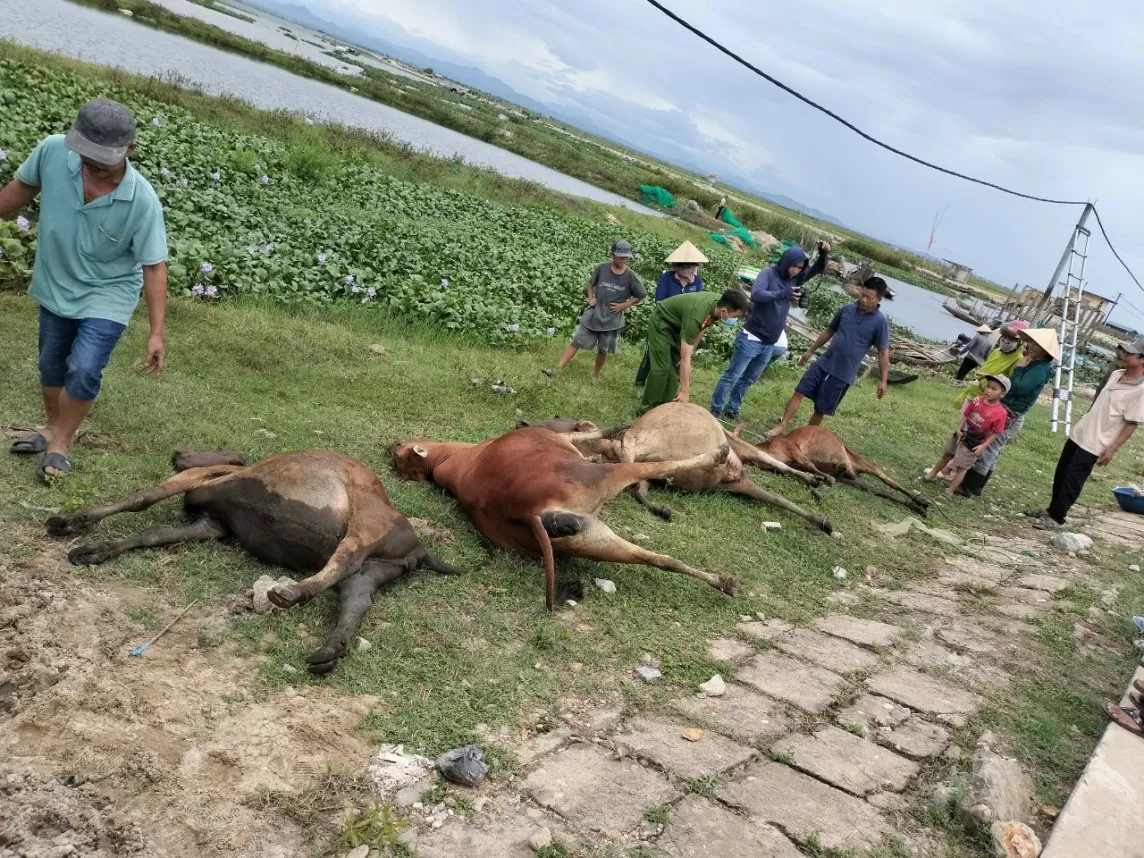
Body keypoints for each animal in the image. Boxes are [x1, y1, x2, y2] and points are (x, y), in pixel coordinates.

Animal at [44, 446, 455, 677]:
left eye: (211, 446)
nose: (177, 453)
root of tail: (420, 550)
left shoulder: (201, 479)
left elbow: (141, 499)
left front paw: (71, 522)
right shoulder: (211, 525)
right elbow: (153, 535)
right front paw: (96, 550)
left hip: (364, 524)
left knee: (342, 561)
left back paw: (291, 594)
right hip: (371, 572)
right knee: (355, 601)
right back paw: (328, 652)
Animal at [388, 427, 736, 608]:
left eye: (399, 450)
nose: (391, 442)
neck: (449, 457)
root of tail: (528, 511)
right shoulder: (562, 438)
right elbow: (586, 433)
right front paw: (607, 432)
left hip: (588, 539)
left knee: (661, 560)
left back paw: (723, 582)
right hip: (601, 480)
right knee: (657, 467)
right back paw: (716, 454)